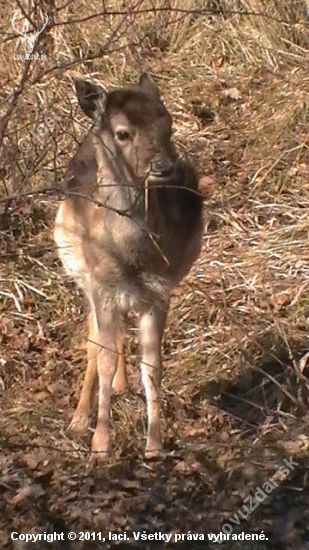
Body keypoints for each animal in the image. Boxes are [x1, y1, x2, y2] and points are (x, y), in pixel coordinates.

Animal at [54, 73, 203, 462]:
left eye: (167, 121)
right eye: (123, 133)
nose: (163, 167)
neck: (132, 257)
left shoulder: (160, 292)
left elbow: (152, 364)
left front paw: (154, 445)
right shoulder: (101, 287)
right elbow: (102, 356)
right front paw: (100, 445)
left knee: (118, 337)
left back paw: (121, 388)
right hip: (81, 277)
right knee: (93, 342)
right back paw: (78, 421)